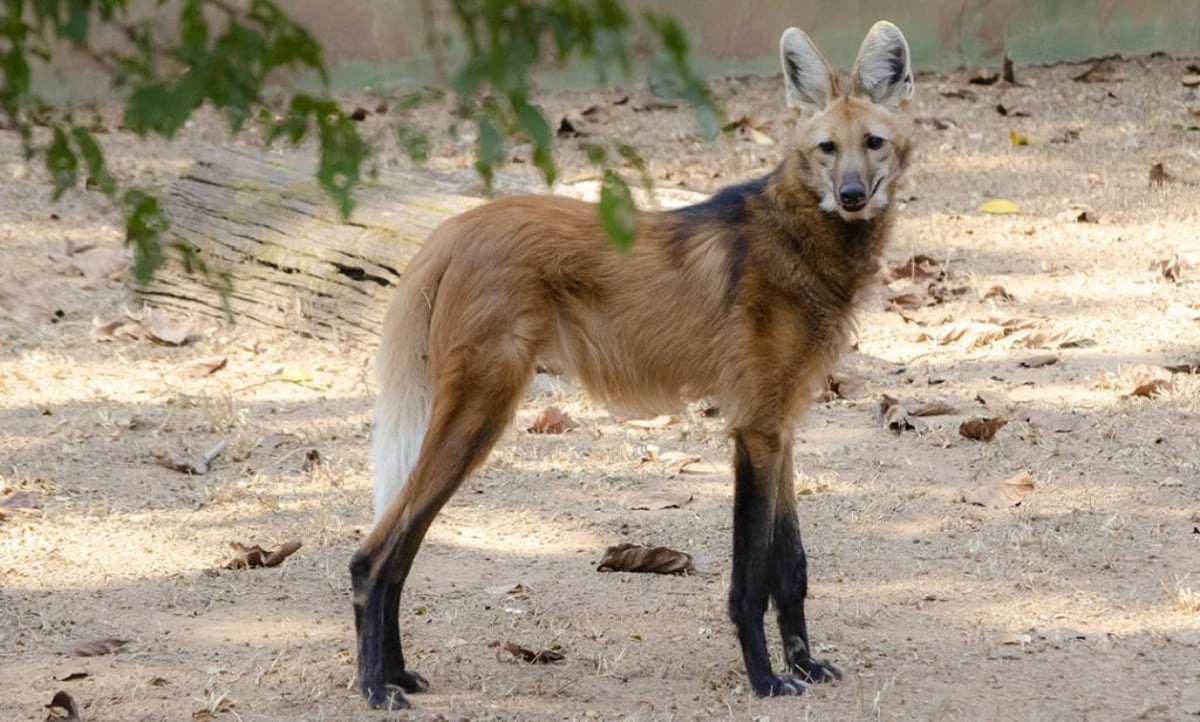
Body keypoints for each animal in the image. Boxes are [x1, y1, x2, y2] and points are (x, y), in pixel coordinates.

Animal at [350, 19, 912, 705]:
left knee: (403, 548)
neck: (799, 238)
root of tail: (453, 229)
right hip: (481, 407)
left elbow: (793, 565)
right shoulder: (754, 426)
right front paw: (765, 679)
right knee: (374, 555)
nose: (852, 195)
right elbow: (751, 577)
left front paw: (806, 665)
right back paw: (374, 687)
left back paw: (399, 673)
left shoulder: (779, 425)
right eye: (828, 148)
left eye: (873, 143)